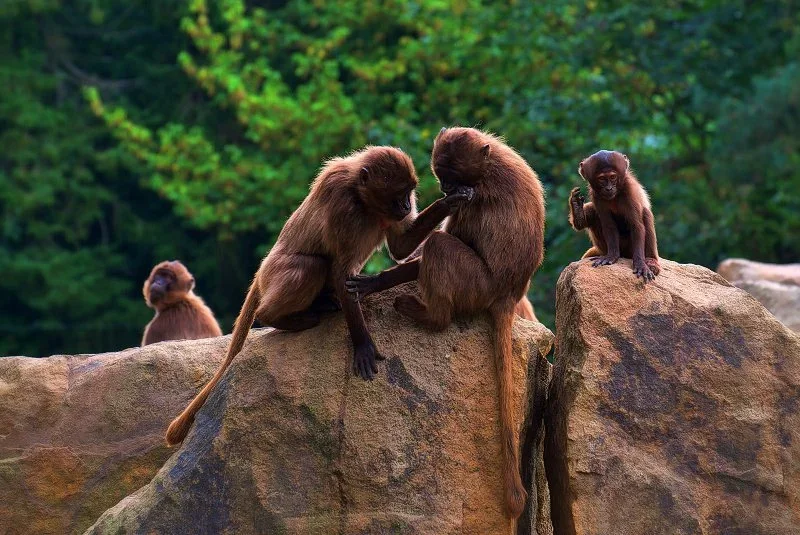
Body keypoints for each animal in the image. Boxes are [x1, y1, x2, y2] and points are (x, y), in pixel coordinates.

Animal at [165, 146, 471, 447]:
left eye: (409, 192)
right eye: (398, 194)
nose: (407, 206)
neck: (363, 201)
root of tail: (263, 271)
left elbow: (399, 247)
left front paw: (450, 202)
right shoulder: (342, 206)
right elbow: (341, 270)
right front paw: (362, 344)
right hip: (276, 274)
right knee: (313, 266)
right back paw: (280, 317)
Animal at [346, 127, 545, 519]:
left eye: (453, 177)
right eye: (443, 175)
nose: (445, 190)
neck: (489, 165)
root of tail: (507, 296)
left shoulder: (476, 197)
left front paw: (376, 283)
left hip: (475, 285)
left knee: (440, 244)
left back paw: (430, 315)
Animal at [569, 149, 661, 281]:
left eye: (612, 177)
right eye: (602, 179)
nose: (609, 188)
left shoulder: (629, 191)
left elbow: (636, 226)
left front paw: (640, 264)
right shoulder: (597, 196)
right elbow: (609, 226)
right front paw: (611, 256)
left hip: (630, 249)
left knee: (646, 213)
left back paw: (651, 262)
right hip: (605, 247)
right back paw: (577, 211)